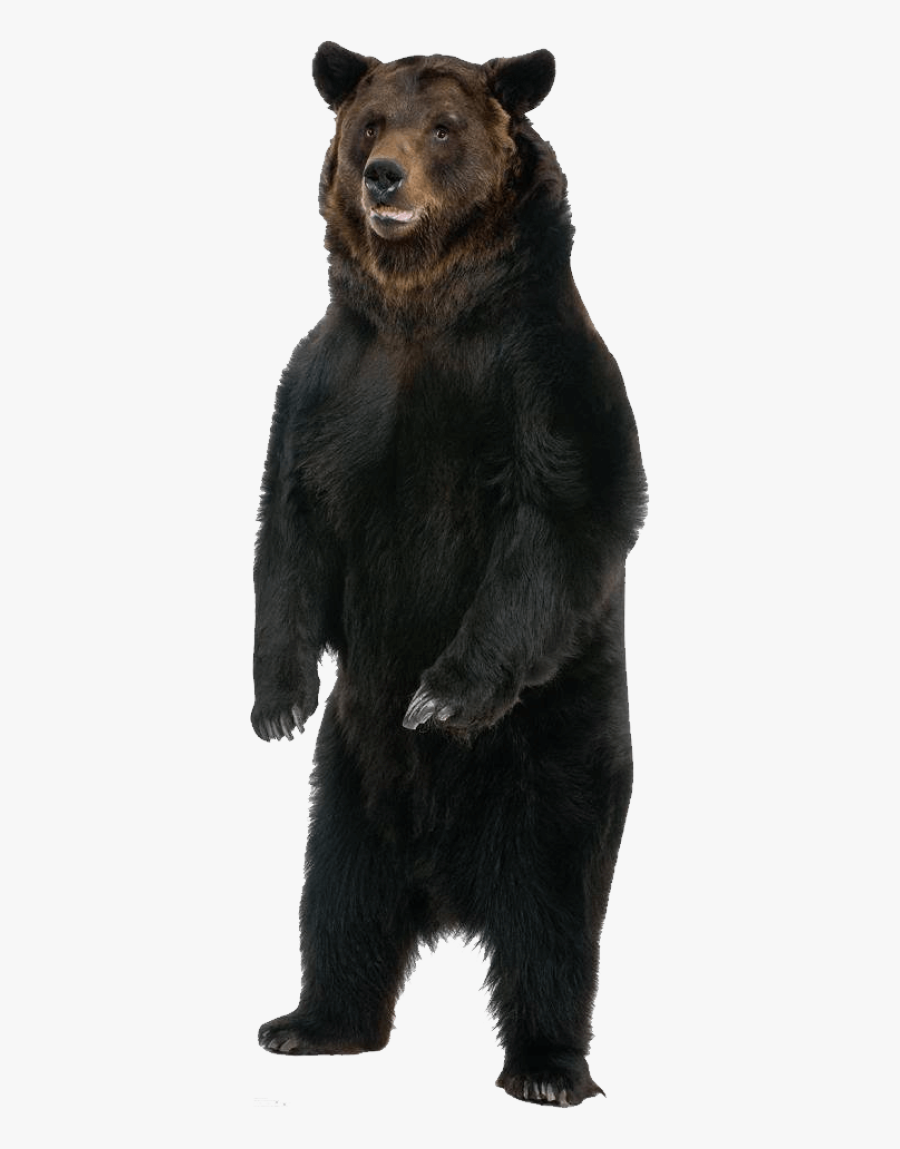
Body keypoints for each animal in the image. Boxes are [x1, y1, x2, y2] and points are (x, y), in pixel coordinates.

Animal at [252, 41, 647, 1107]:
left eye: (444, 128)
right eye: (369, 123)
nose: (384, 177)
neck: (423, 306)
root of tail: (448, 889)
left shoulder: (541, 377)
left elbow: (560, 519)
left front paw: (440, 695)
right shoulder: (331, 381)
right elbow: (289, 526)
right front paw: (277, 699)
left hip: (558, 759)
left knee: (554, 920)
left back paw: (548, 1067)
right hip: (349, 783)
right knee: (338, 898)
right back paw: (311, 1021)